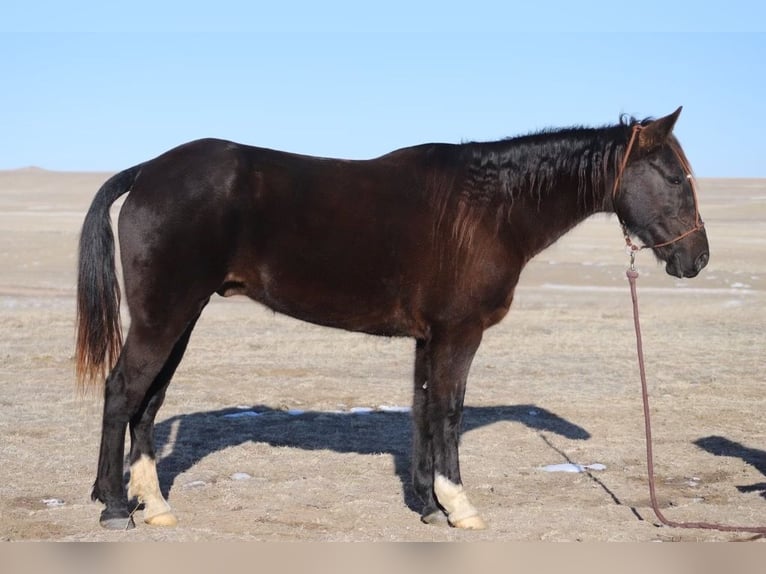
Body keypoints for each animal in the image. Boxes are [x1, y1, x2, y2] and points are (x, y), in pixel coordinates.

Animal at [75, 107, 712, 532]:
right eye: (673, 176)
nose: (697, 258)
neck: (488, 209)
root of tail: (147, 172)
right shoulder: (458, 334)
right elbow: (448, 411)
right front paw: (460, 507)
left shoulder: (428, 339)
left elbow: (424, 411)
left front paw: (428, 505)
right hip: (164, 316)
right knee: (122, 391)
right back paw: (114, 506)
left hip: (180, 317)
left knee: (148, 401)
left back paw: (152, 504)